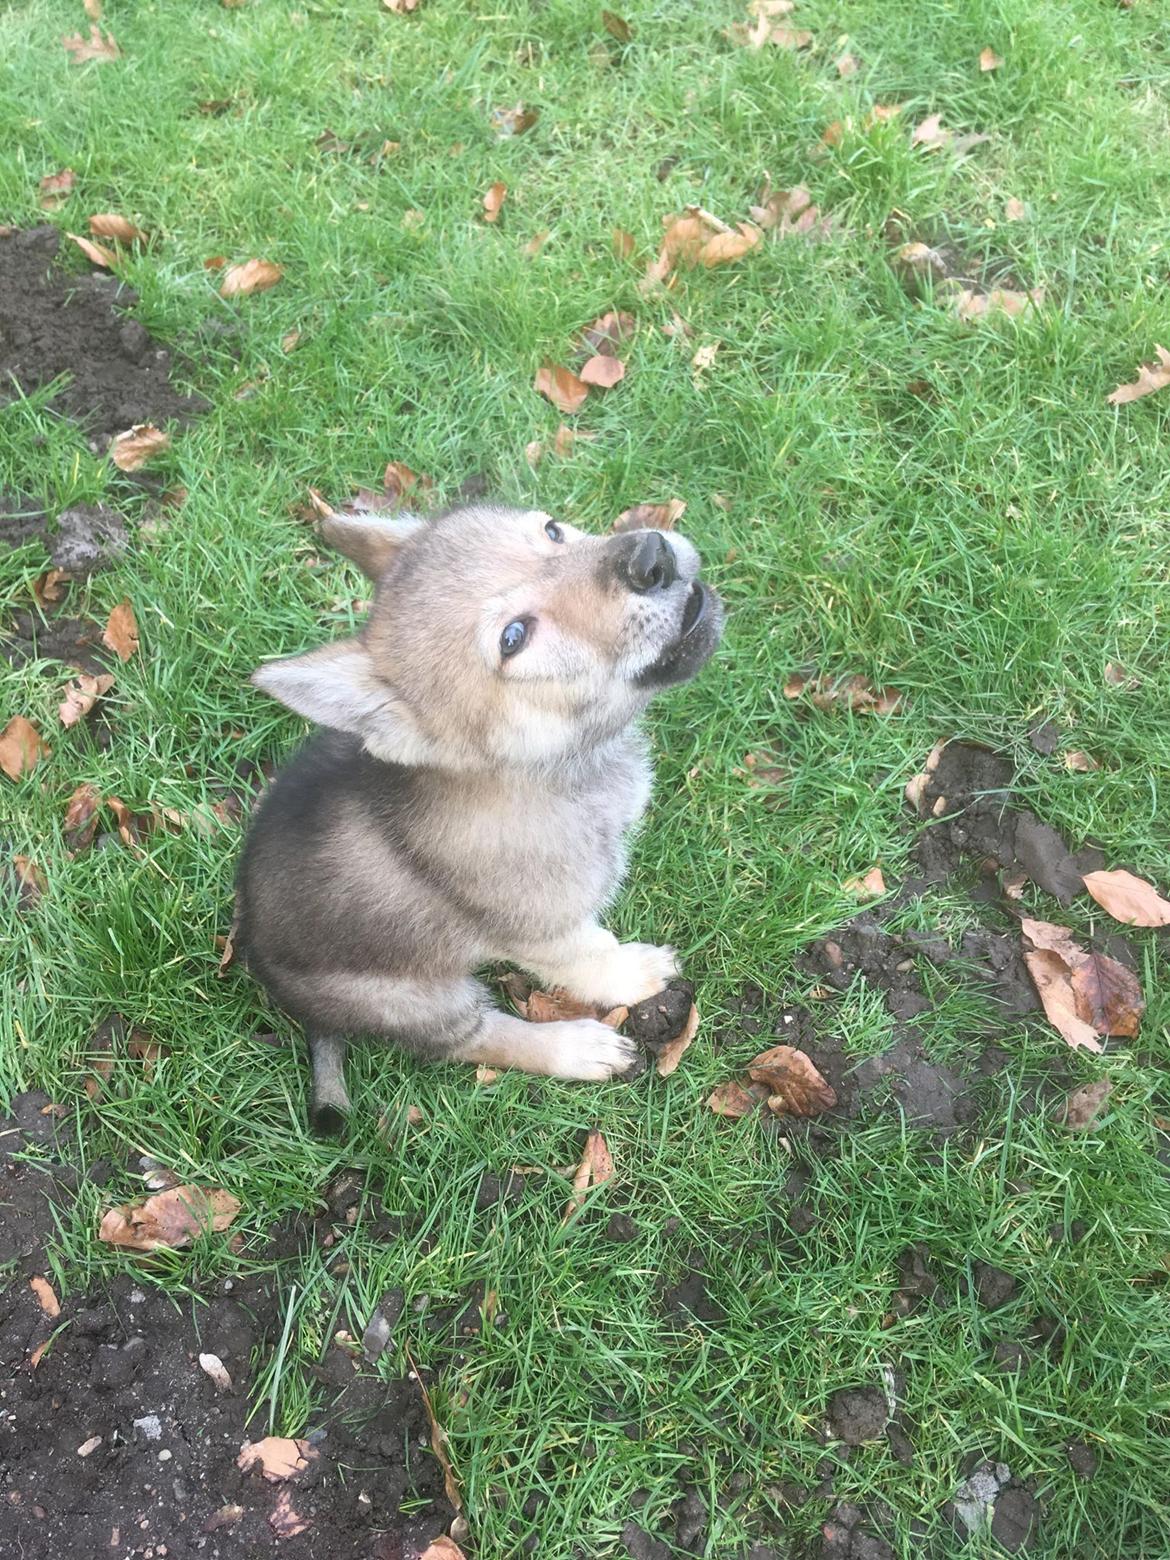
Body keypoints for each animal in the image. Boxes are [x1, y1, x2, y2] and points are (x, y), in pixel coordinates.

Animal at [238, 505, 723, 1129]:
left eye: (552, 530)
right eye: (513, 638)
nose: (650, 555)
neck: (542, 774)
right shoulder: (542, 930)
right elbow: (589, 954)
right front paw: (628, 974)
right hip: (415, 999)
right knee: (475, 1039)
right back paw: (576, 1049)